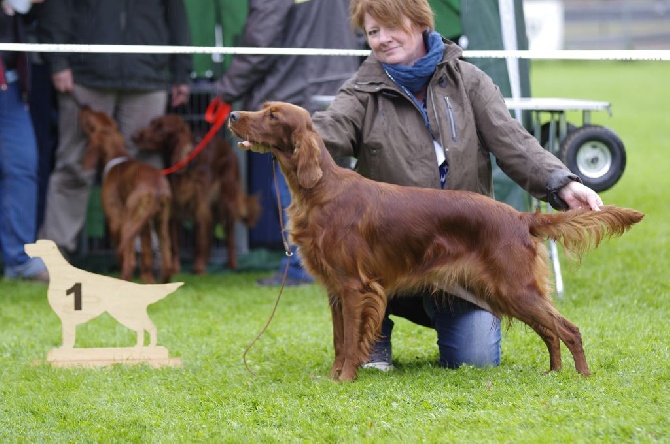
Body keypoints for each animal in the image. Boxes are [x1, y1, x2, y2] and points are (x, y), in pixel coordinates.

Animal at [80, 106, 175, 282]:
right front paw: (147, 279)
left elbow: (123, 255)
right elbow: (146, 255)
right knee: (167, 259)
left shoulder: (114, 220)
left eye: (90, 119)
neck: (117, 155)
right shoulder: (145, 226)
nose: (84, 106)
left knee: (129, 260)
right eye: (101, 114)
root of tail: (157, 188)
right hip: (161, 224)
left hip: (127, 222)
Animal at [133, 114, 262, 274]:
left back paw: (231, 264)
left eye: (160, 127)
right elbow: (175, 243)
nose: (134, 136)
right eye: (152, 124)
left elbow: (199, 241)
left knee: (229, 235)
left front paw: (199, 268)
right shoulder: (175, 208)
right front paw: (175, 267)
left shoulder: (200, 206)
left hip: (226, 200)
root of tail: (228, 147)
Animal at [230, 100, 644, 382]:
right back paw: (553, 372)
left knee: (568, 329)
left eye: (272, 115)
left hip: (514, 288)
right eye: (262, 109)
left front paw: (344, 379)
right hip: (509, 293)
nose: (233, 115)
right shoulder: (335, 290)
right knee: (550, 331)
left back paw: (582, 376)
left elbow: (348, 342)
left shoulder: (353, 286)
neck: (320, 191)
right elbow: (338, 339)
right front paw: (333, 377)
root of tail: (520, 217)